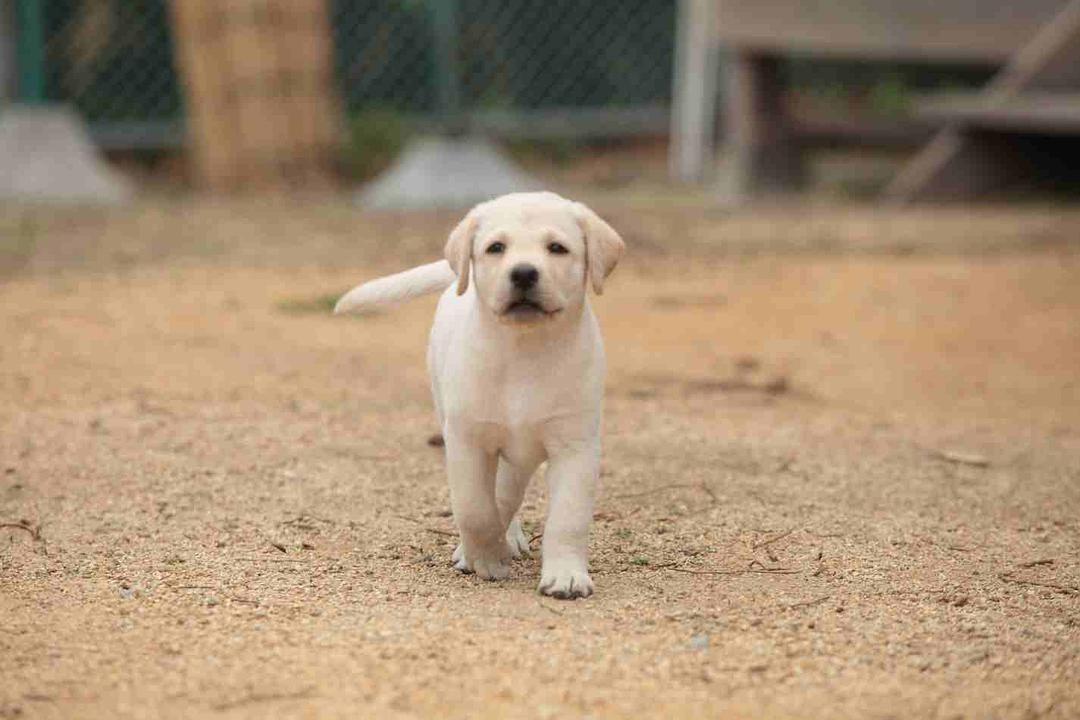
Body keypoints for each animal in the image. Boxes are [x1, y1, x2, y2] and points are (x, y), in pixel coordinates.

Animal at [334, 189, 626, 595]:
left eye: (557, 248)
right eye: (496, 248)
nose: (523, 272)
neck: (523, 350)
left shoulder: (575, 445)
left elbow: (567, 518)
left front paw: (566, 575)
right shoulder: (467, 439)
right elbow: (475, 508)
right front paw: (485, 559)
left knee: (508, 489)